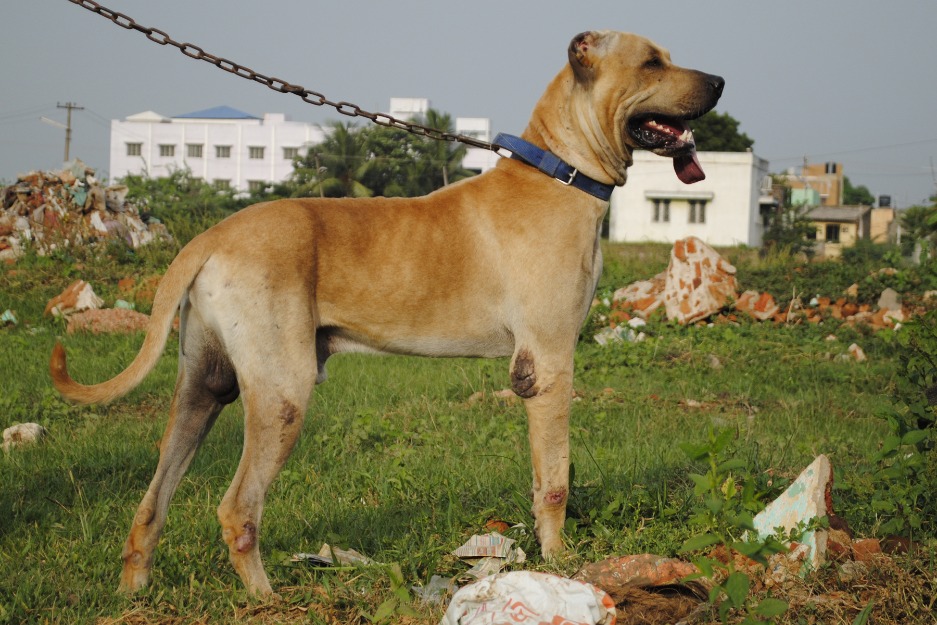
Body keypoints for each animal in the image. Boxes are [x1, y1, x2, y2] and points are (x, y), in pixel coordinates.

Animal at [51, 30, 724, 596]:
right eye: (651, 62)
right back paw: (266, 597)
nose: (720, 82)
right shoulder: (550, 363)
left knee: (152, 504)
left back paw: (133, 591)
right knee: (238, 508)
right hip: (282, 392)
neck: (562, 172)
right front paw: (560, 565)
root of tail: (213, 235)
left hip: (202, 387)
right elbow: (555, 482)